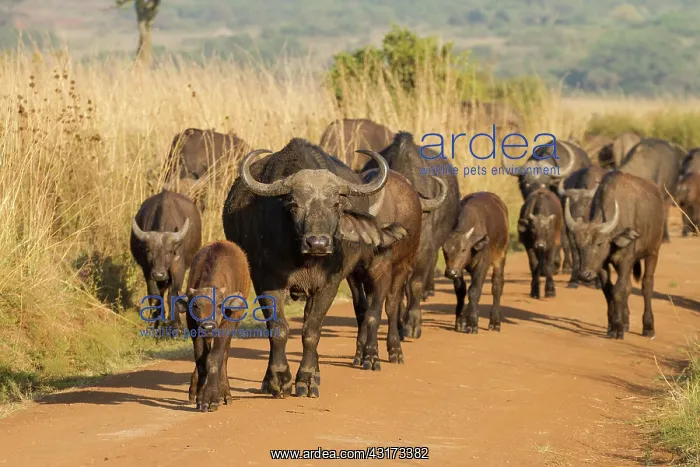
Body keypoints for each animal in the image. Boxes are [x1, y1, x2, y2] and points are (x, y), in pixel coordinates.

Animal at [131, 190, 202, 330]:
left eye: (169, 251)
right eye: (148, 251)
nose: (159, 274)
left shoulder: (178, 269)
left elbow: (173, 295)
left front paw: (176, 324)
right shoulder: (148, 270)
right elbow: (154, 296)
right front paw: (154, 323)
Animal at [174, 240, 252, 412]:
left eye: (220, 304)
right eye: (195, 305)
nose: (208, 326)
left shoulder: (226, 326)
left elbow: (215, 359)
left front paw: (211, 398)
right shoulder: (194, 328)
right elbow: (202, 361)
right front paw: (199, 396)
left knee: (224, 355)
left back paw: (225, 394)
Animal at [222, 138, 408, 398]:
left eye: (336, 203)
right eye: (294, 203)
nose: (318, 243)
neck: (305, 259)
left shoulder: (328, 285)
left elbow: (312, 330)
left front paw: (307, 379)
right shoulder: (267, 282)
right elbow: (278, 328)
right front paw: (279, 379)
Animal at [443, 192, 509, 334]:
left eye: (463, 249)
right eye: (444, 250)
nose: (450, 272)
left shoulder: (482, 265)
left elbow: (474, 290)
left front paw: (472, 323)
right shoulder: (458, 269)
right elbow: (461, 291)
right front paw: (461, 322)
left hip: (501, 255)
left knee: (497, 285)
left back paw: (495, 322)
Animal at [564, 171, 664, 339]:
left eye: (599, 243)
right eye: (578, 245)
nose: (584, 275)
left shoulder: (626, 260)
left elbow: (618, 291)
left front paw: (617, 328)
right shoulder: (602, 265)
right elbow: (609, 290)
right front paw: (613, 326)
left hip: (653, 252)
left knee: (647, 285)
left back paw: (648, 328)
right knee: (628, 287)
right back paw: (626, 322)